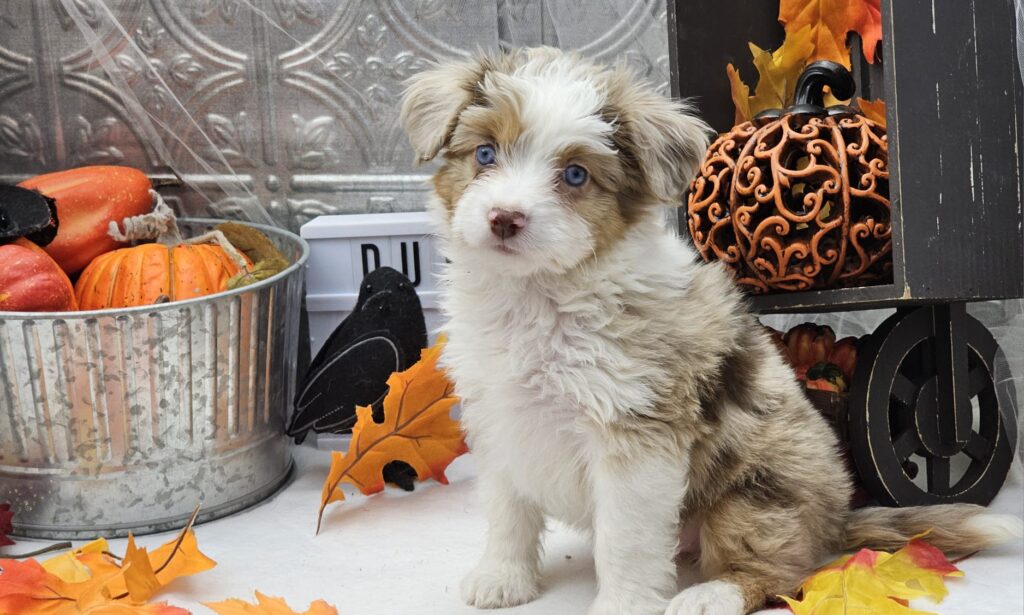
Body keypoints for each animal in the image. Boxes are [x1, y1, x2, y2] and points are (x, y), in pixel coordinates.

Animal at [397, 48, 1015, 613]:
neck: (538, 295)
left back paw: (712, 594)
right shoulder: (498, 418)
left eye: (575, 174)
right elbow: (508, 510)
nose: (504, 218)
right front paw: (503, 577)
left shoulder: (637, 436)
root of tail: (837, 518)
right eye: (485, 153)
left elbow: (625, 540)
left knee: (781, 570)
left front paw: (621, 605)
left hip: (755, 496)